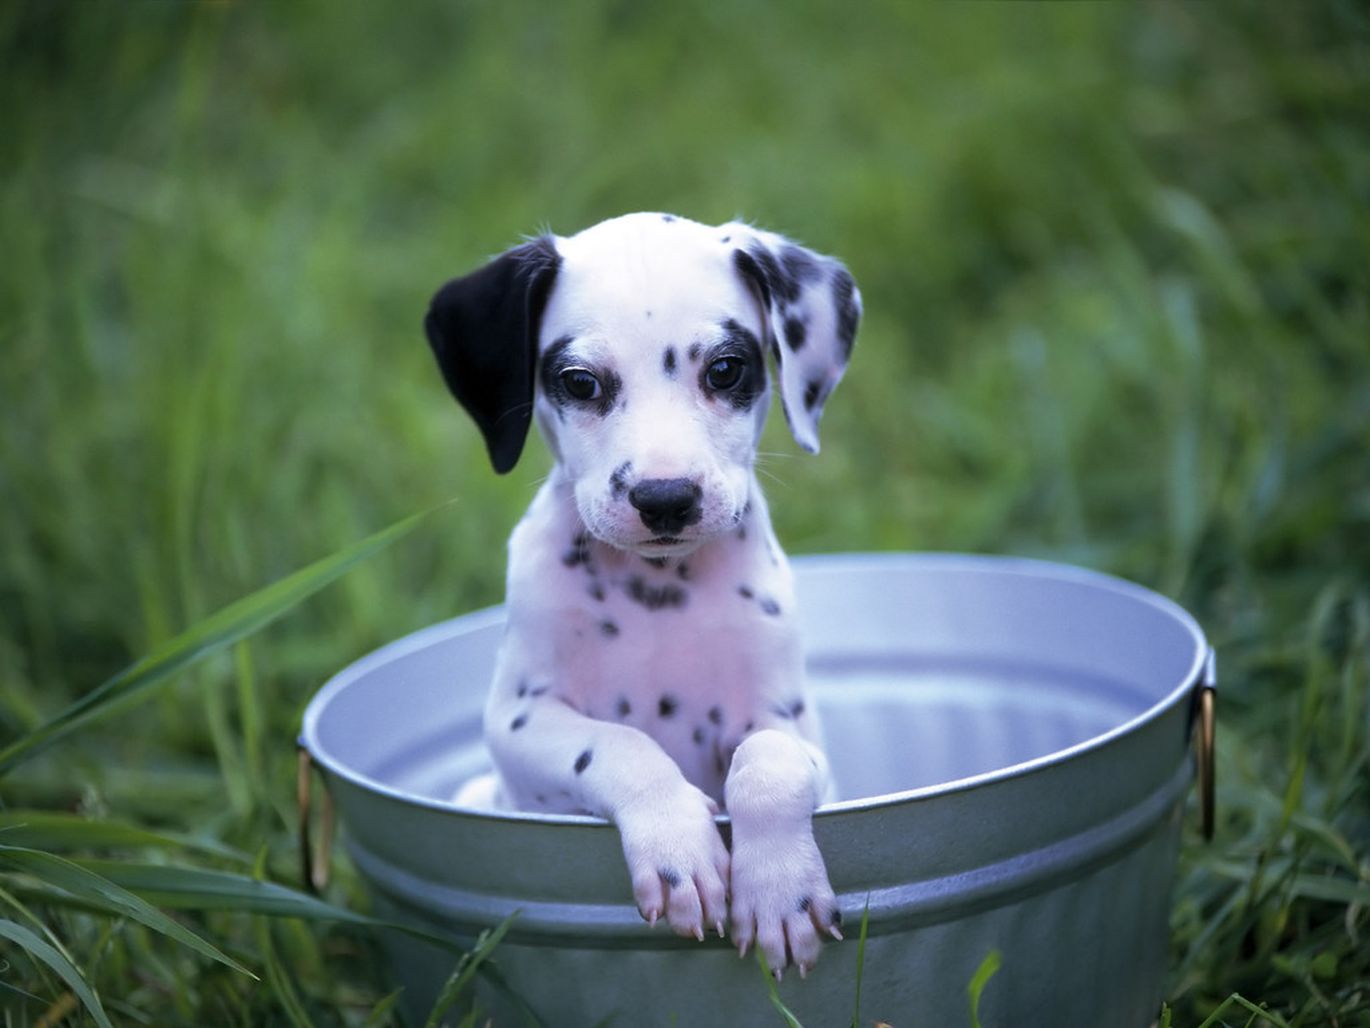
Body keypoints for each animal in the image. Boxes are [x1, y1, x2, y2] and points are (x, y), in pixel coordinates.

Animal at [421, 213, 860, 975]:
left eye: (725, 370)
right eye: (580, 382)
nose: (665, 498)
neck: (658, 593)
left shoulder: (790, 724)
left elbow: (766, 763)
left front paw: (779, 891)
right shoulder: (518, 723)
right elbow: (617, 743)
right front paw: (678, 848)